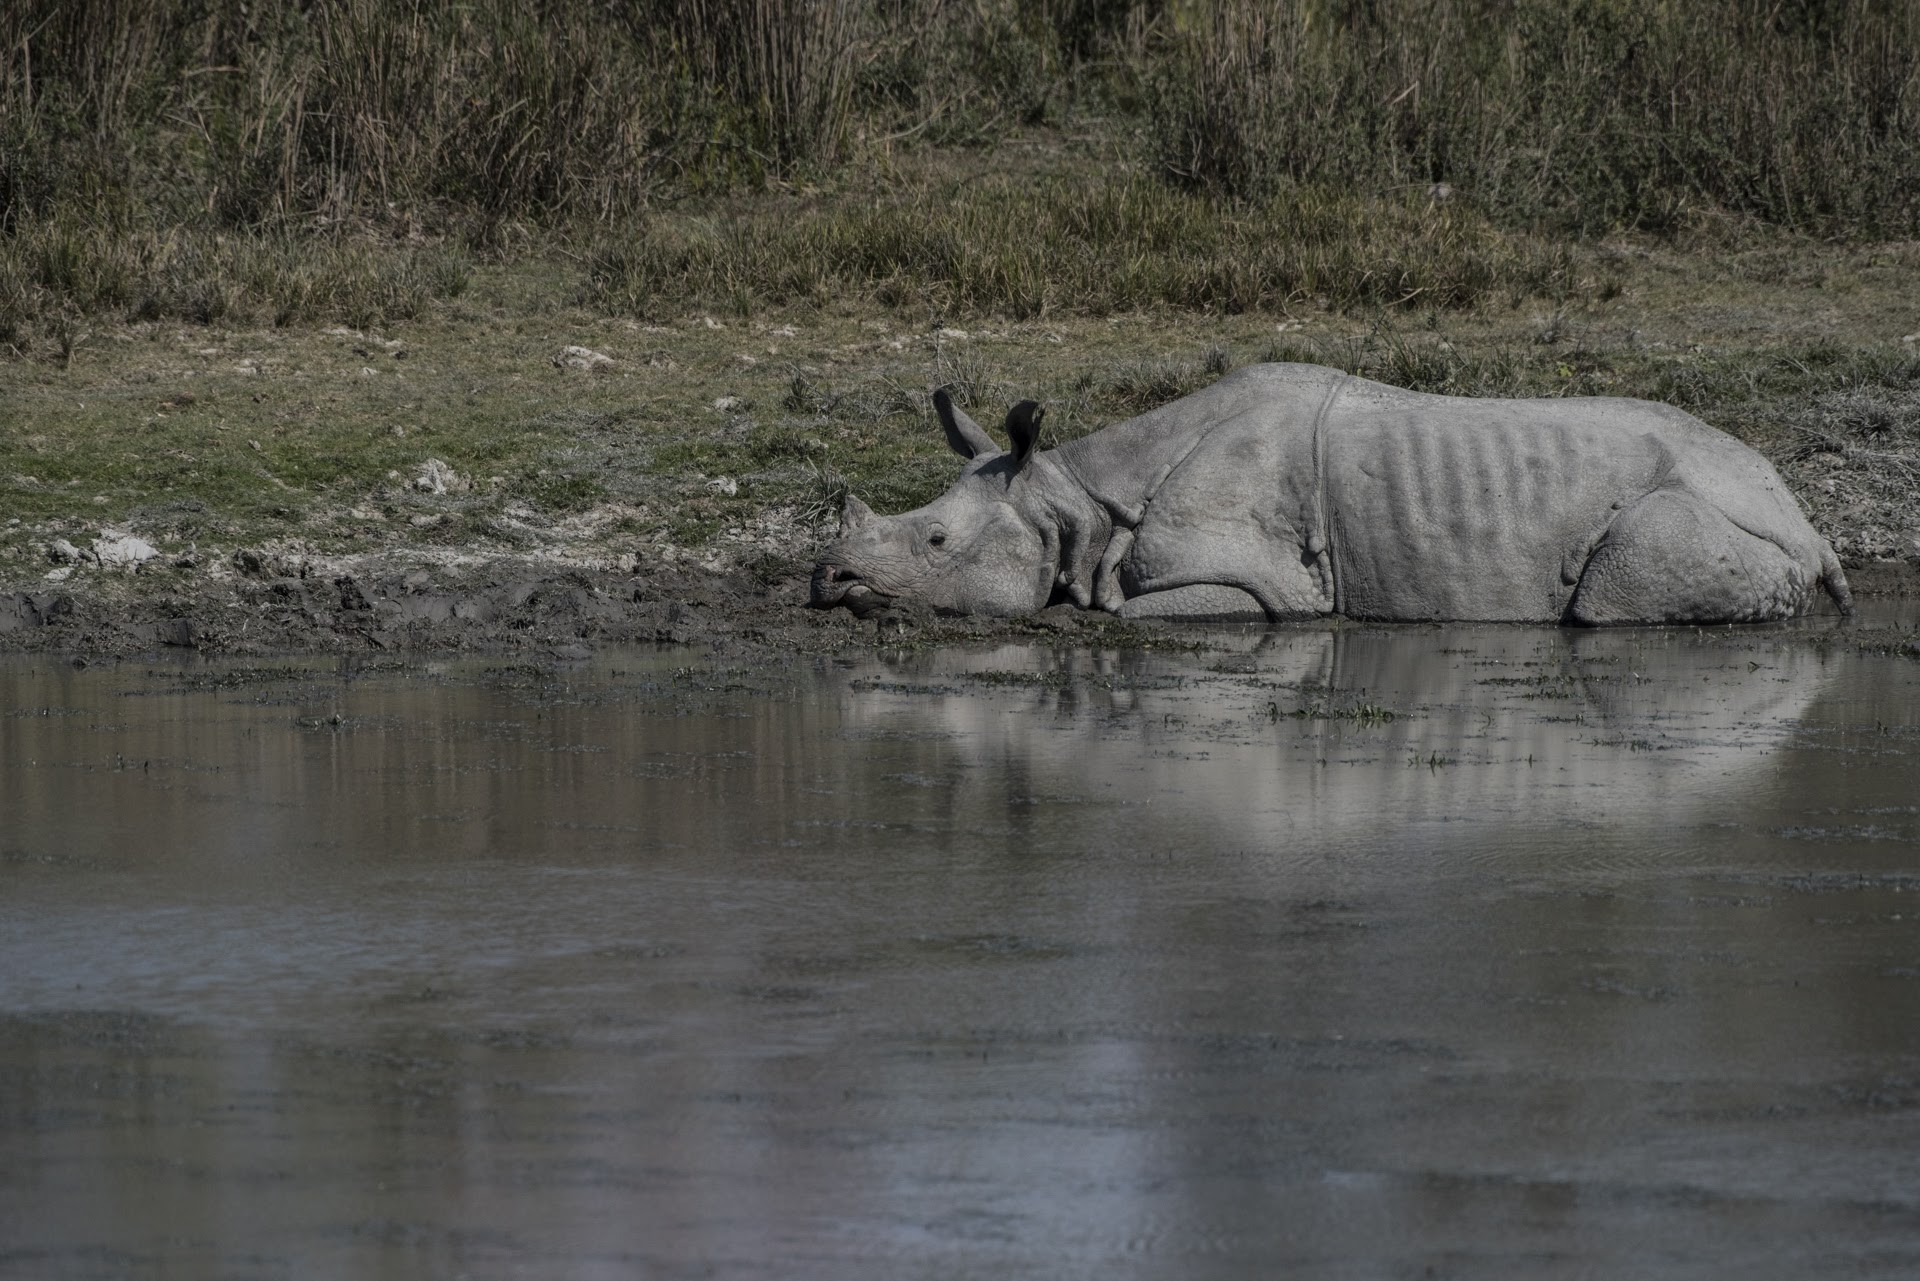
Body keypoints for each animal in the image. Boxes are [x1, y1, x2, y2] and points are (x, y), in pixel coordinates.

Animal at [810, 362, 1853, 625]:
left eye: (935, 544)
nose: (829, 580)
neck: (1073, 495)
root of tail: (1811, 525)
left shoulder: (1259, 584)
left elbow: (1127, 614)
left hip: (1709, 513)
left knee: (1603, 605)